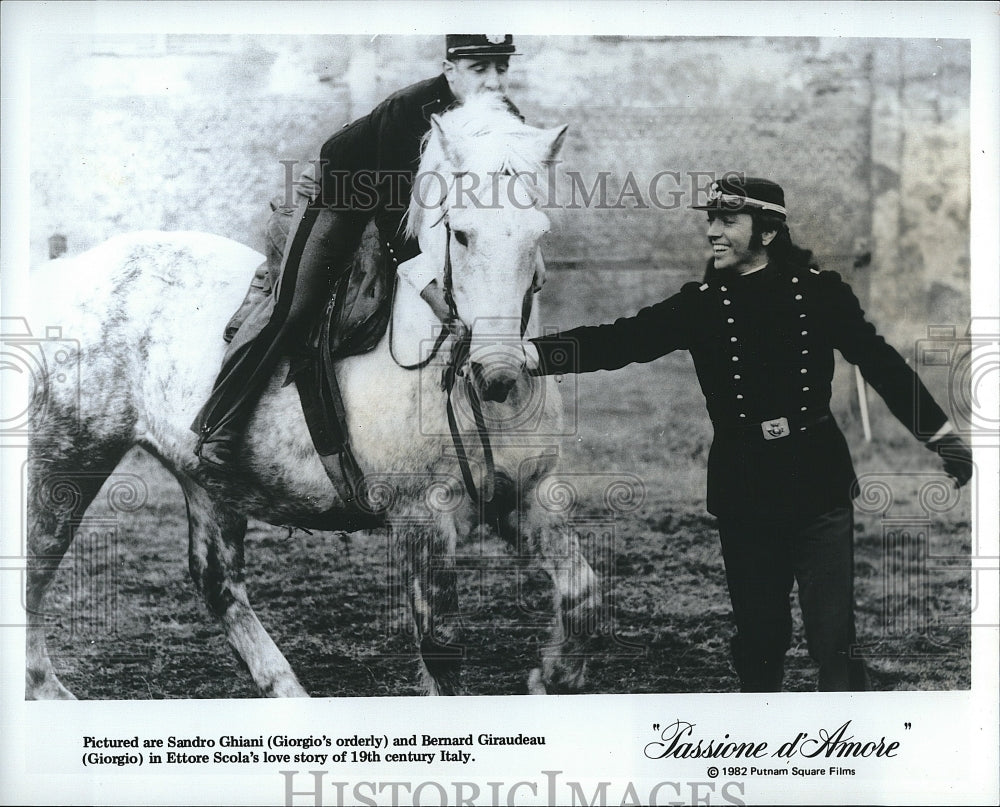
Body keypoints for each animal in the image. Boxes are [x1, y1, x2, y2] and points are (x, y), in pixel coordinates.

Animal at [25, 94, 600, 700]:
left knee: (218, 582)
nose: (498, 371)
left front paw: (556, 675)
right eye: (462, 234)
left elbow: (582, 595)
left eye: (537, 233)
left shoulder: (527, 495)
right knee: (33, 570)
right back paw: (46, 687)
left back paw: (286, 689)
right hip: (70, 456)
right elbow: (441, 645)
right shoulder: (421, 517)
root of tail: (65, 271)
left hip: (204, 478)